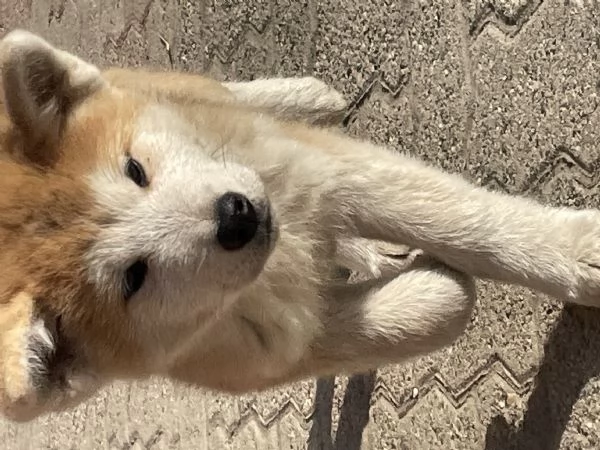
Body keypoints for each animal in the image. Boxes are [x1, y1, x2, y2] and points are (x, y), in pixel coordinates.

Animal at [1, 29, 600, 424]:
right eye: (134, 276)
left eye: (135, 170)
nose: (235, 216)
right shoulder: (260, 349)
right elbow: (414, 318)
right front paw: (432, 287)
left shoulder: (322, 172)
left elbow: (467, 222)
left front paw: (576, 256)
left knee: (219, 92)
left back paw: (309, 97)